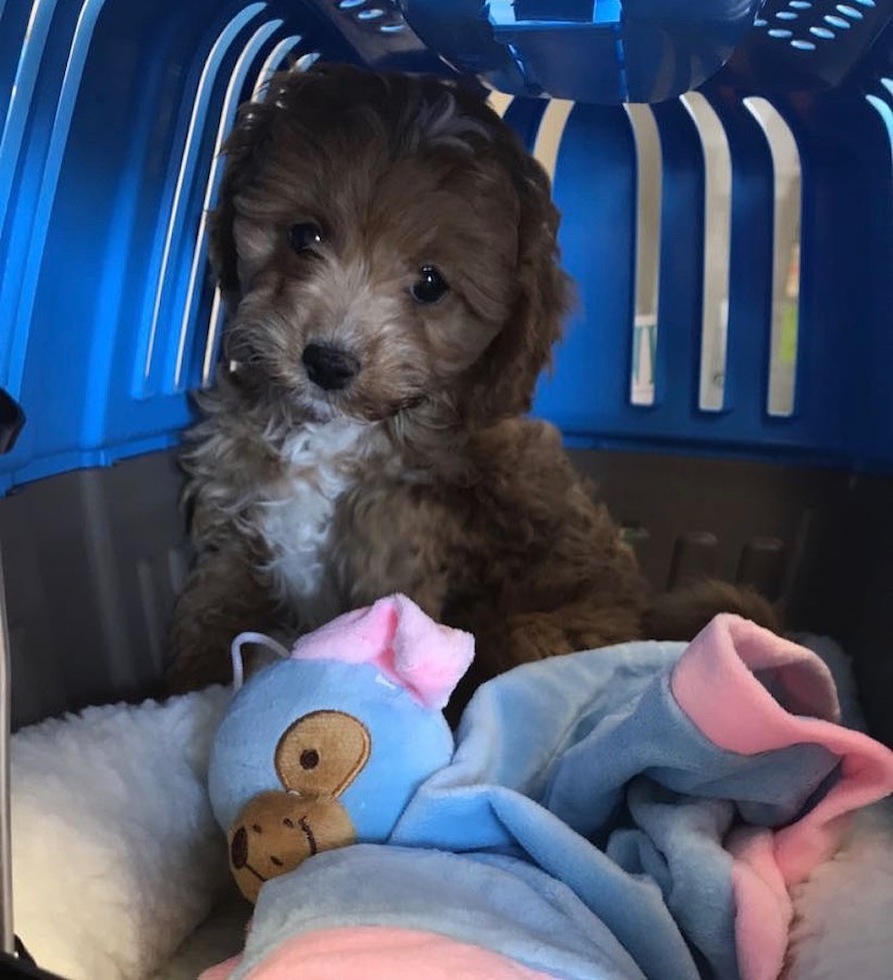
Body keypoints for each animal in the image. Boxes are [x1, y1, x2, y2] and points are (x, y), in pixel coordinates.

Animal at [169, 63, 772, 704]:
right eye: (303, 235)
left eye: (431, 283)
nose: (328, 362)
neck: (339, 433)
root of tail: (649, 620)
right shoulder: (234, 515)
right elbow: (215, 603)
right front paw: (188, 684)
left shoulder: (403, 557)